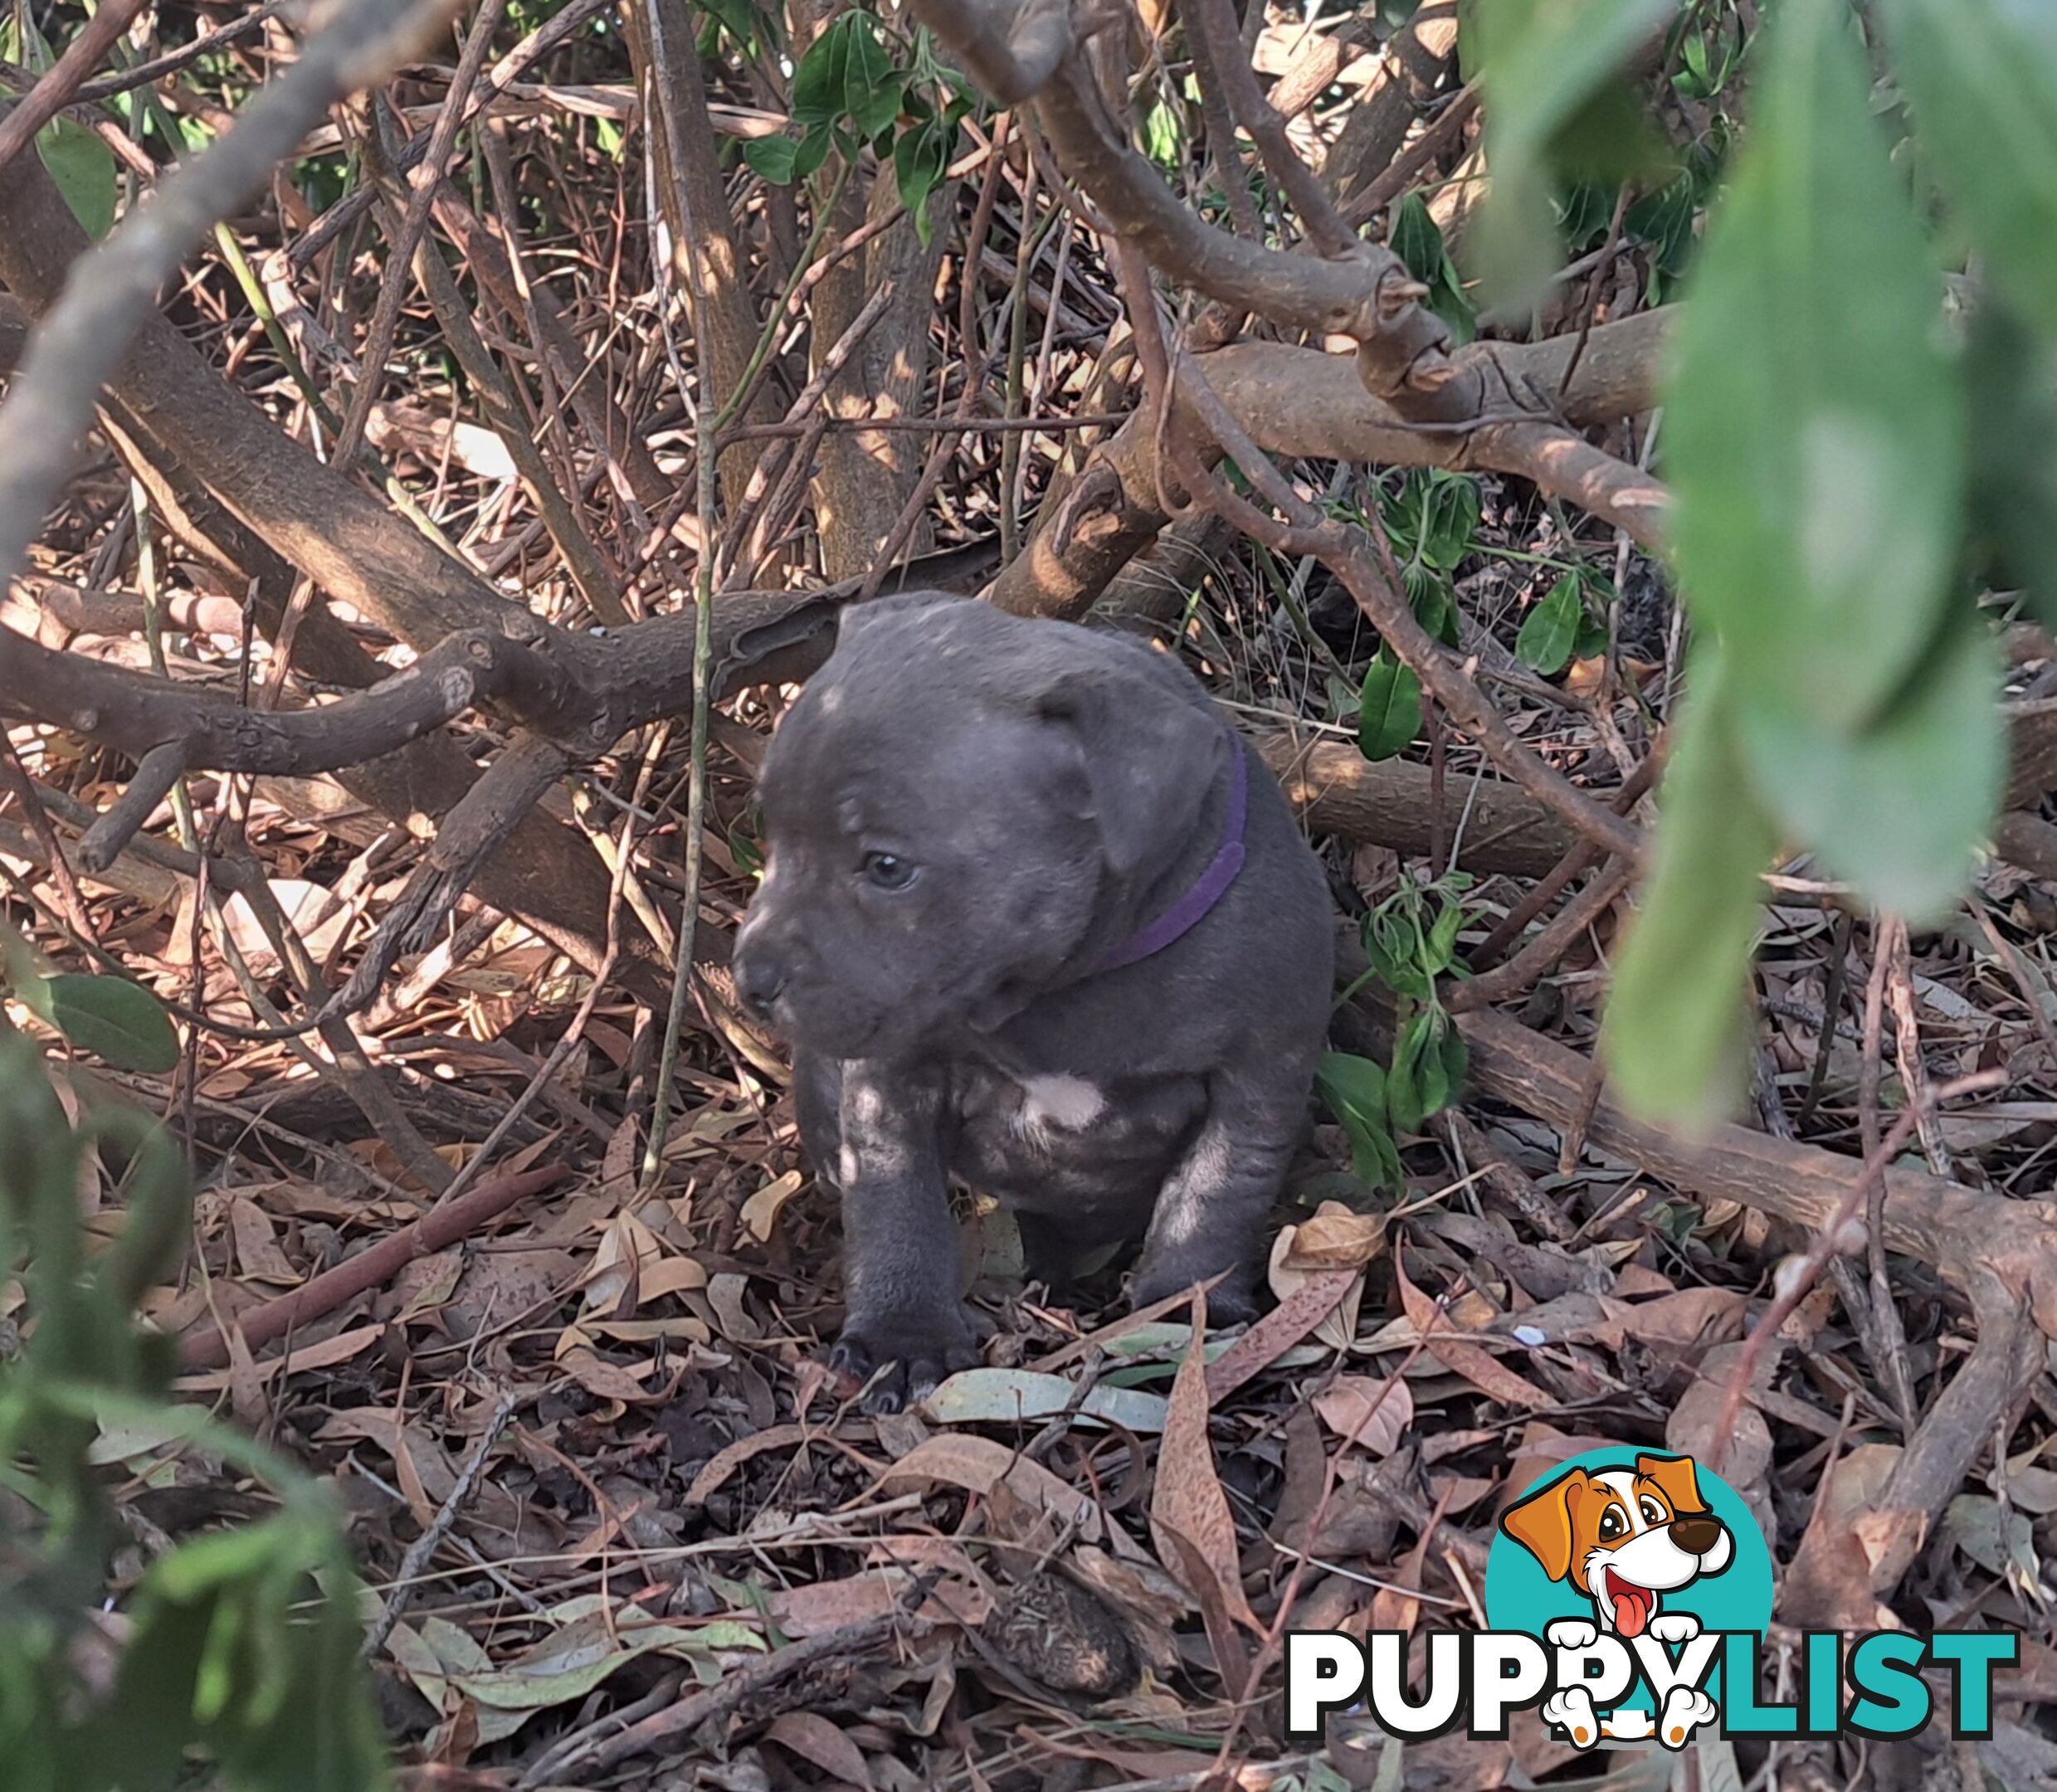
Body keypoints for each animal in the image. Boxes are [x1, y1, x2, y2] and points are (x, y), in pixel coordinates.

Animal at [736, 597, 1333, 1407]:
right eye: (772, 837)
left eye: (887, 867)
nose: (750, 977)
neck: (1067, 986)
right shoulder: (894, 1077)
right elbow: (894, 1198)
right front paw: (902, 1337)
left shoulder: (1258, 1081)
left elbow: (1214, 1197)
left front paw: (1183, 1311)